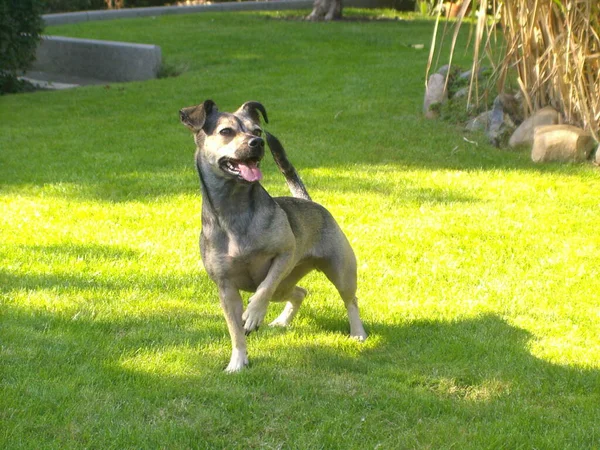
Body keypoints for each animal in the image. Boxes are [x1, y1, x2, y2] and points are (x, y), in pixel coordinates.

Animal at [179, 100, 366, 370]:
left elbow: (263, 289)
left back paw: (358, 332)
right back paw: (282, 321)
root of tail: (307, 200)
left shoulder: (284, 254)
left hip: (339, 271)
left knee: (350, 300)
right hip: (286, 284)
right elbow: (235, 331)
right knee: (300, 292)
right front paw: (237, 362)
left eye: (257, 130)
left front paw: (253, 314)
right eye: (226, 131)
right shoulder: (226, 287)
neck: (235, 210)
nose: (258, 142)